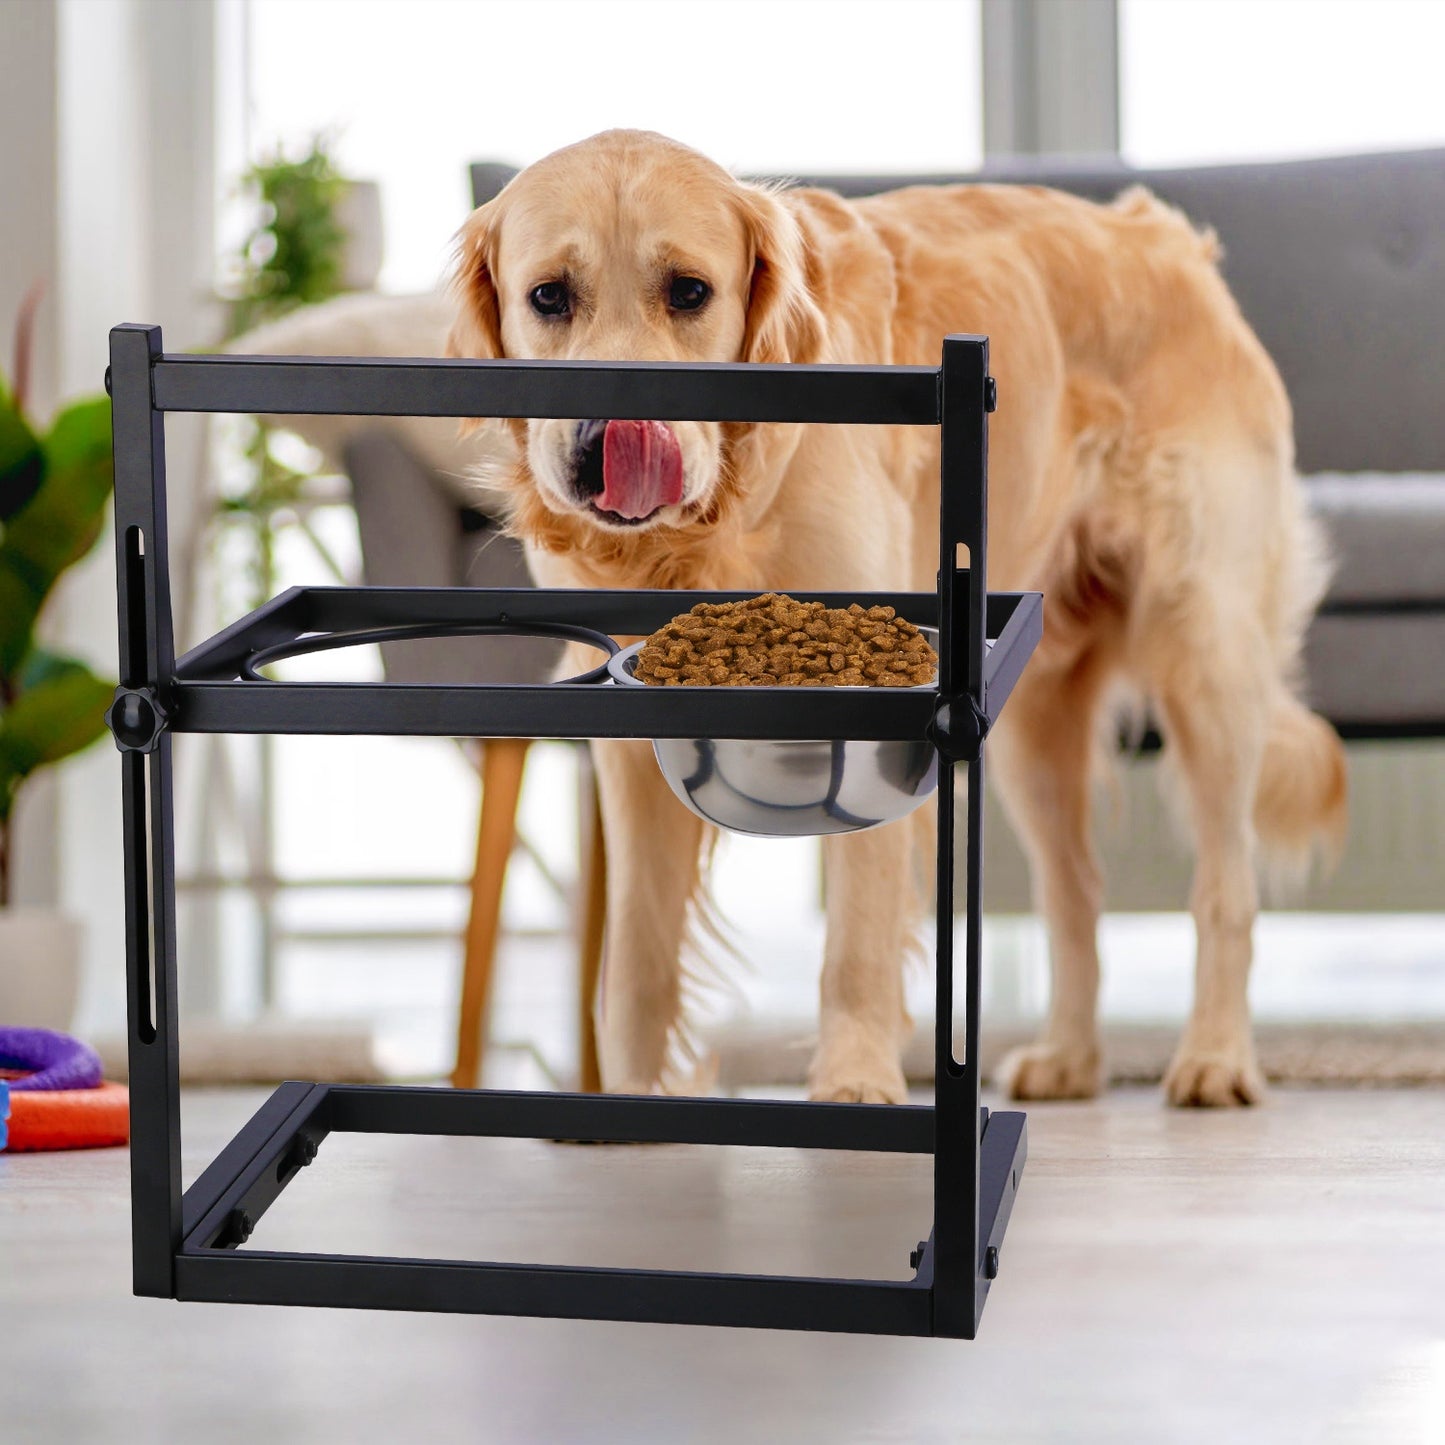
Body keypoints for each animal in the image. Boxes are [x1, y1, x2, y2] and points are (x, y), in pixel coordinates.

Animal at [445, 130, 1346, 1109]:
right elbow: (638, 957)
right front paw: (633, 1108)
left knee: (1225, 886)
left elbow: (857, 937)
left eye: (688, 291)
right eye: (548, 297)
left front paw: (854, 1079)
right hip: (1033, 729)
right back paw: (1069, 1056)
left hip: (1203, 647)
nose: (604, 442)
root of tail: (1174, 242)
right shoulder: (628, 736)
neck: (721, 516)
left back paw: (1215, 1055)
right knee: (1076, 889)